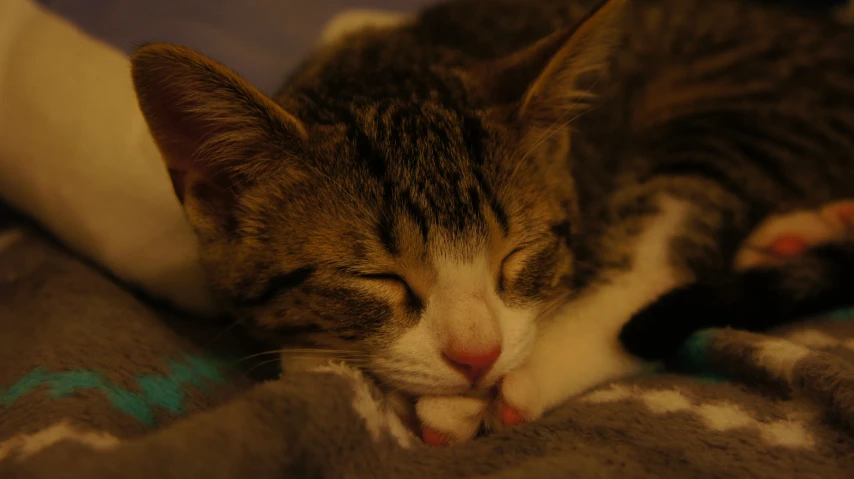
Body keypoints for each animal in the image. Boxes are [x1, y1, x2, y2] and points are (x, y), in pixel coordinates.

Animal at [129, 0, 854, 444]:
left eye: (516, 255)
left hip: (738, 106)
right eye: (378, 278)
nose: (478, 357)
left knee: (655, 266)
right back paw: (799, 231)